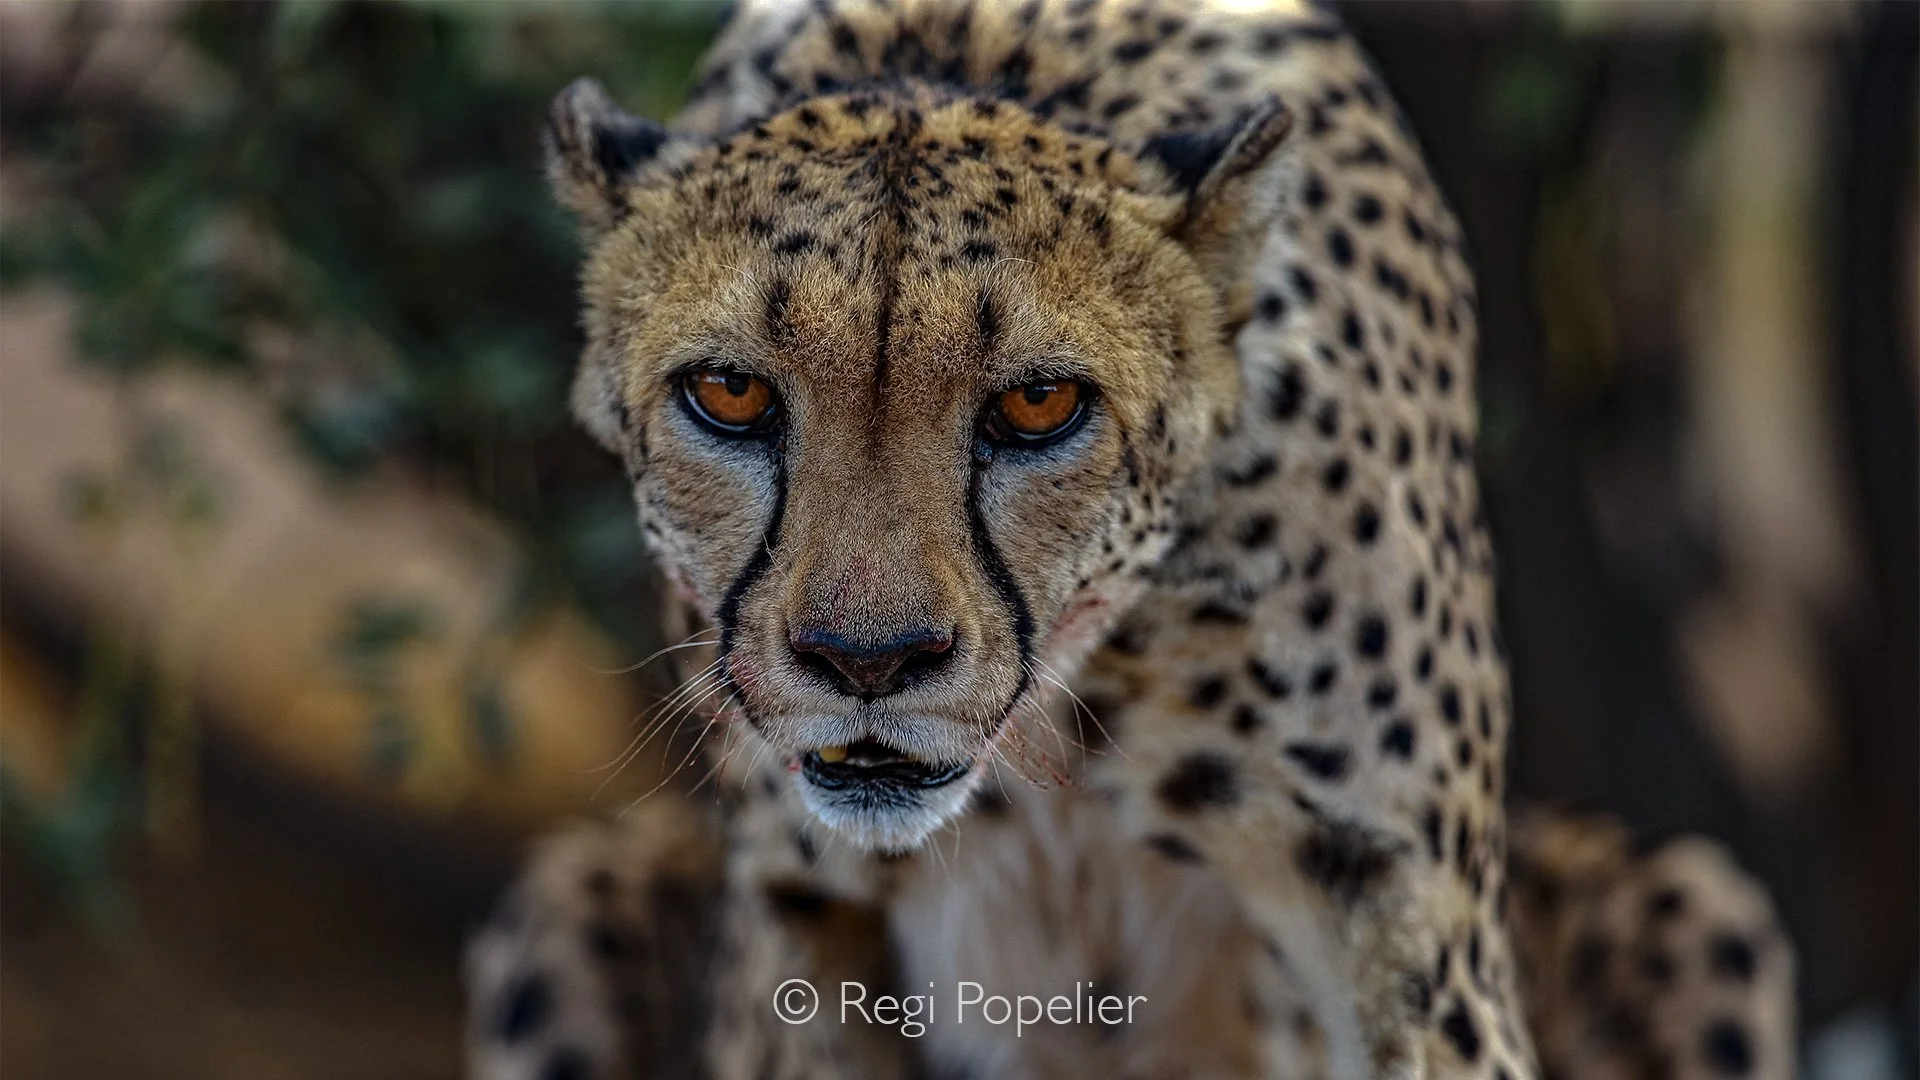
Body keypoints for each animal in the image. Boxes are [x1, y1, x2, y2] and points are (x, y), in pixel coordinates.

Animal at [464, 1, 1797, 1078]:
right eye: (731, 393)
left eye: (1040, 404)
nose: (867, 663)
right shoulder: (799, 909)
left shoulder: (1403, 917)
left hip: (1696, 908)